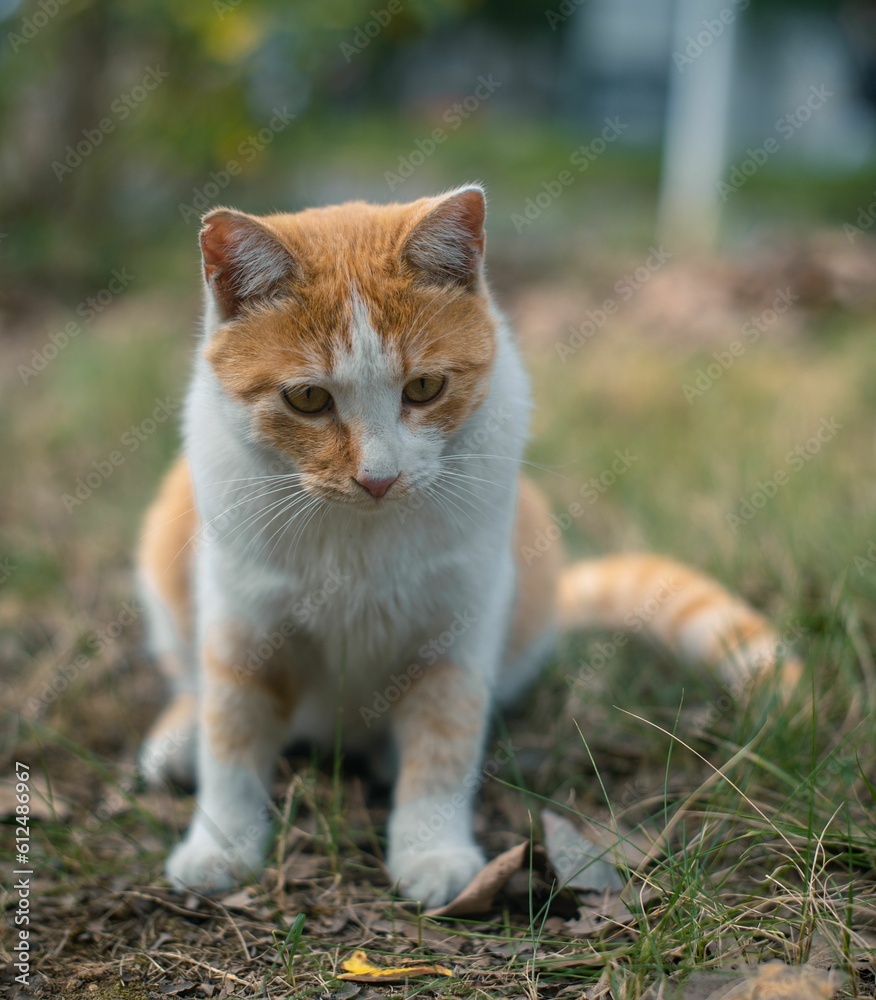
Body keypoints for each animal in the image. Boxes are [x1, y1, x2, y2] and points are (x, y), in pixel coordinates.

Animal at [139, 186, 800, 908]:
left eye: (424, 388)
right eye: (308, 398)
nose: (379, 478)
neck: (360, 542)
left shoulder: (456, 633)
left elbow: (443, 748)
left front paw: (433, 853)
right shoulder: (241, 627)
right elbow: (230, 740)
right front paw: (220, 845)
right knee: (190, 680)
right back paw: (176, 743)